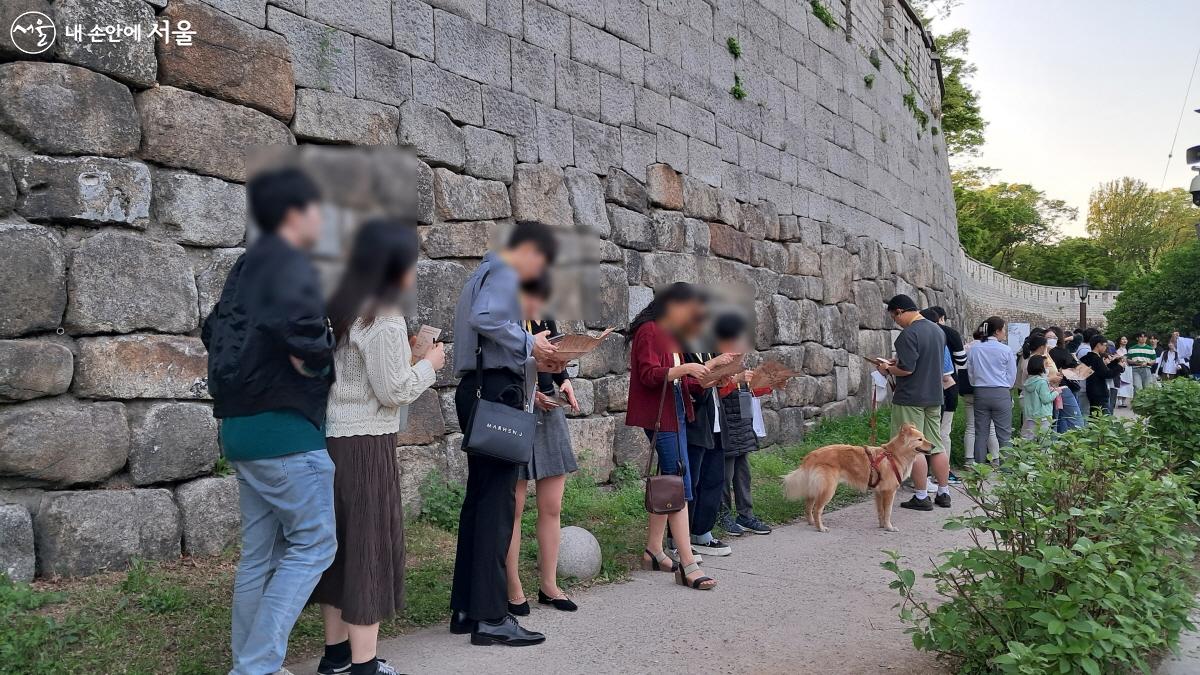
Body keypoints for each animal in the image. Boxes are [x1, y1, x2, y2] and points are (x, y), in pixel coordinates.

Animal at [782, 422, 931, 533]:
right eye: (920, 439)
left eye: (924, 438)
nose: (933, 445)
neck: (893, 455)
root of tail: (811, 455)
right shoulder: (889, 492)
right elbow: (888, 511)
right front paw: (889, 527)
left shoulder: (878, 492)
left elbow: (881, 511)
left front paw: (882, 525)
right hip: (828, 490)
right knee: (817, 509)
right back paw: (821, 528)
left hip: (815, 488)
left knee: (808, 507)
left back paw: (811, 523)